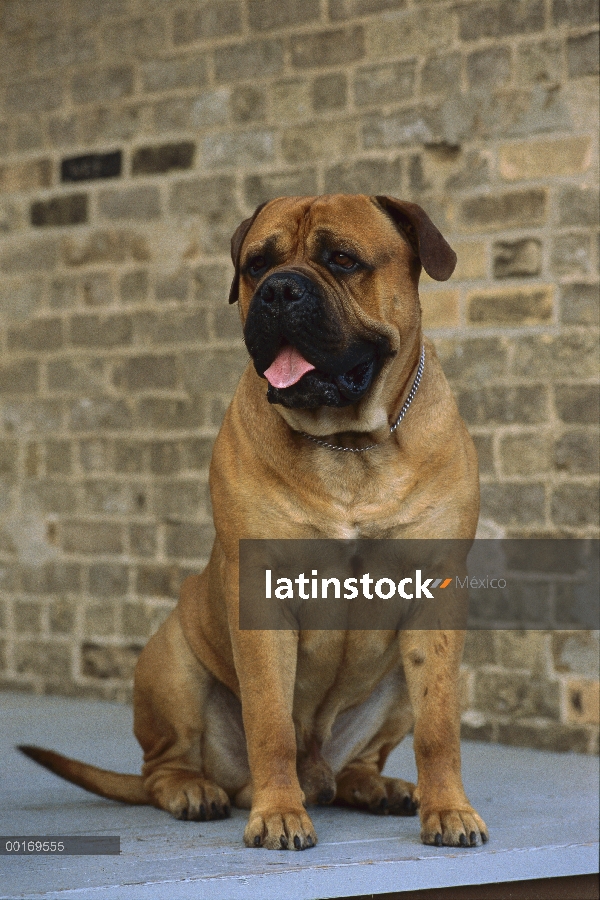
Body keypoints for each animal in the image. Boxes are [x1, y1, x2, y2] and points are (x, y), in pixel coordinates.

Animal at [21, 195, 488, 852]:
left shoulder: (436, 600)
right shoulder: (260, 597)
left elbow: (439, 726)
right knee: (164, 766)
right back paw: (196, 791)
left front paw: (449, 809)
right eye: (256, 265)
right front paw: (279, 814)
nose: (279, 290)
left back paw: (379, 787)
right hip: (173, 661)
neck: (348, 443)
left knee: (359, 762)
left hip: (392, 684)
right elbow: (270, 722)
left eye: (342, 259)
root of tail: (320, 773)